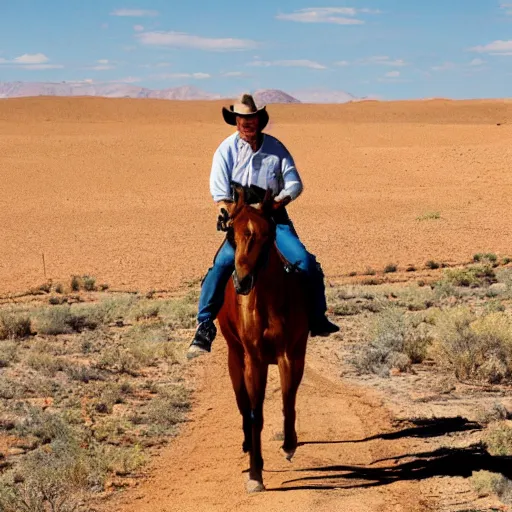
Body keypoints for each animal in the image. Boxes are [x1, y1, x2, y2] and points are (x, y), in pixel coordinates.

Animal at [215, 184, 308, 492]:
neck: (267, 301)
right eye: (232, 234)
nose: (242, 281)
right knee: (243, 405)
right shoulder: (253, 360)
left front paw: (289, 445)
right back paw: (246, 445)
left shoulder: (289, 355)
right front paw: (255, 472)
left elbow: (288, 400)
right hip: (235, 356)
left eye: (267, 235)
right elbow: (256, 413)